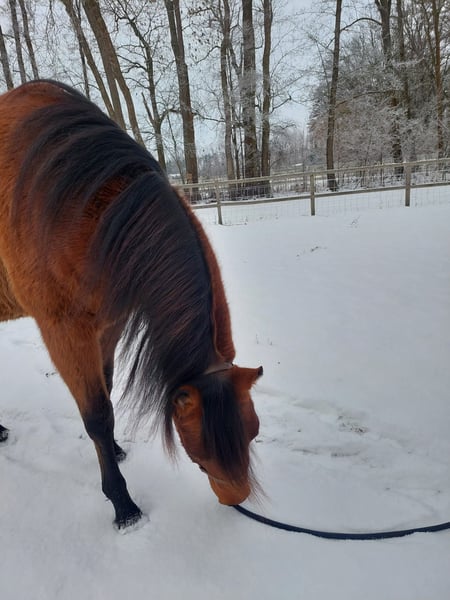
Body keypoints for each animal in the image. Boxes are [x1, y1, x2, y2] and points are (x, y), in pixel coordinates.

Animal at [0, 80, 262, 528]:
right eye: (201, 451)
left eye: (253, 432)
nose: (236, 498)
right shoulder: (64, 330)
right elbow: (96, 414)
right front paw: (122, 503)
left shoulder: (107, 325)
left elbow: (105, 394)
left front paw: (117, 452)